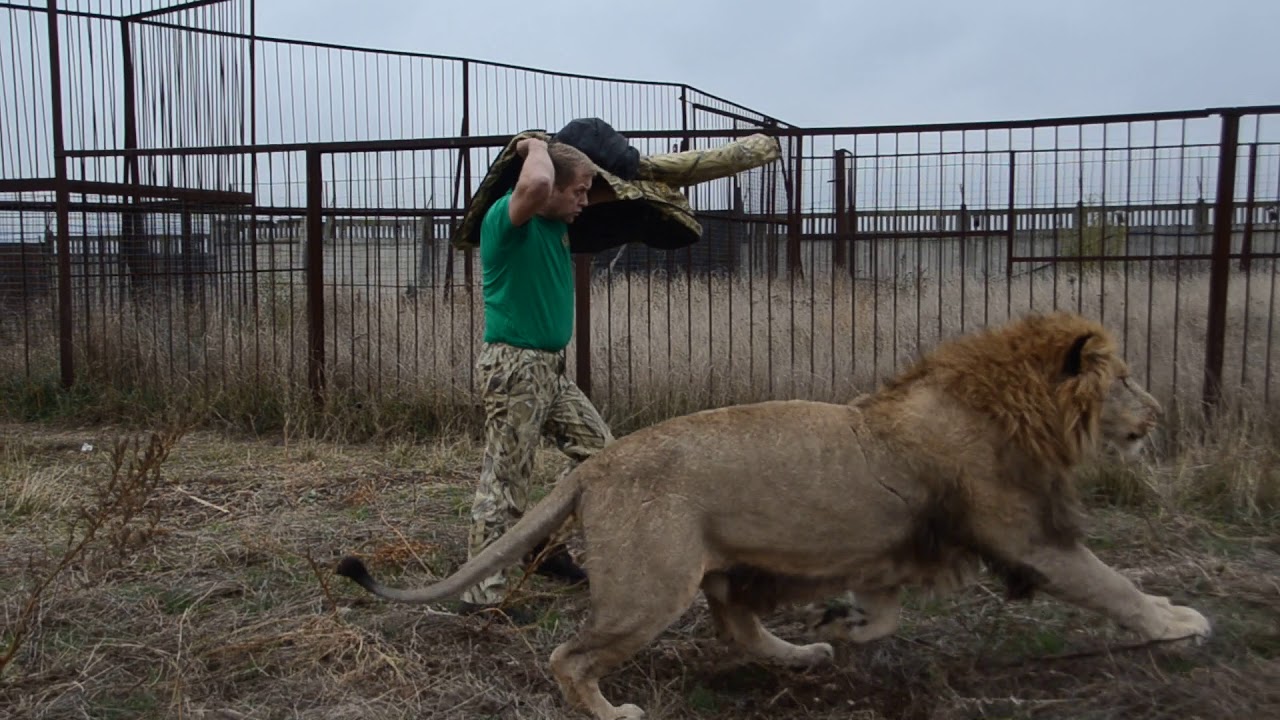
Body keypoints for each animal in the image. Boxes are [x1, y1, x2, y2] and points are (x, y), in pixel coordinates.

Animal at [332, 310, 1208, 717]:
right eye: (1125, 379)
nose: (1162, 413)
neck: (1008, 407)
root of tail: (601, 464)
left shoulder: (892, 544)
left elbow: (885, 610)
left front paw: (844, 627)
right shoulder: (1027, 535)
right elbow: (1113, 585)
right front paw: (1177, 621)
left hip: (723, 565)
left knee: (736, 622)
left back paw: (803, 652)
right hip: (653, 588)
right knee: (570, 657)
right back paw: (614, 710)